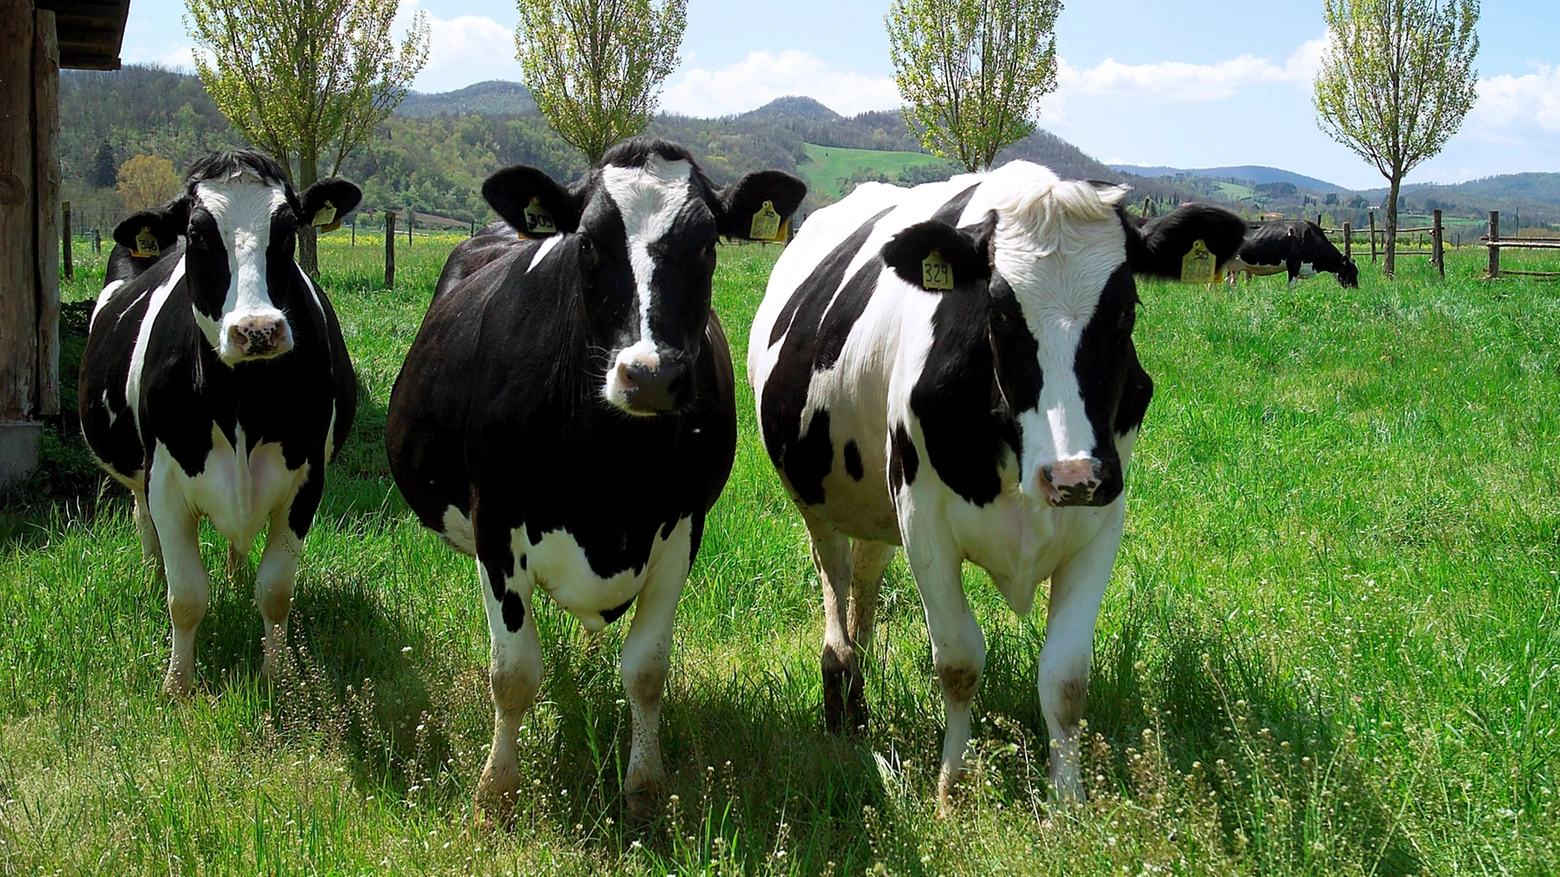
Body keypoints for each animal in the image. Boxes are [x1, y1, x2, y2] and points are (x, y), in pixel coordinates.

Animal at [81, 152, 358, 695]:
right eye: (198, 234)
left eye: (288, 230)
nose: (257, 330)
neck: (242, 403)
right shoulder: (165, 483)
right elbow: (186, 596)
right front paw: (178, 686)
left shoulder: (306, 479)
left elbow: (275, 591)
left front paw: (276, 677)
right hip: (139, 476)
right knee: (144, 526)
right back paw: (153, 574)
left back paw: (234, 574)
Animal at [385, 136, 804, 817]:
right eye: (587, 242)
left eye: (707, 244)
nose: (652, 375)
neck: (612, 485)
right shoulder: (496, 523)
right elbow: (513, 672)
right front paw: (497, 792)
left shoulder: (683, 527)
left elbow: (646, 669)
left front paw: (644, 787)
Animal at [748, 162, 1248, 805]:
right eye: (1002, 313)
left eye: (1126, 311)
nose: (1071, 474)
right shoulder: (924, 522)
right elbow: (959, 662)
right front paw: (951, 790)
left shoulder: (1101, 521)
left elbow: (1065, 676)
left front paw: (1069, 803)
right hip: (819, 499)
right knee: (835, 589)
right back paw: (844, 708)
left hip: (875, 505)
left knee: (864, 578)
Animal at [1223, 218, 1360, 287]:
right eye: (1351, 271)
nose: (1355, 289)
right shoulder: (1293, 264)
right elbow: (1291, 285)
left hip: (1234, 265)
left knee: (1230, 282)